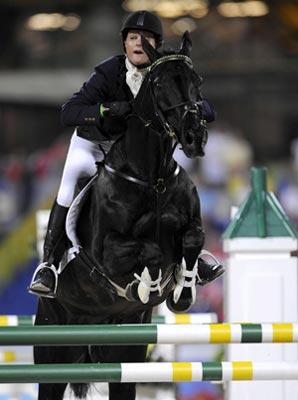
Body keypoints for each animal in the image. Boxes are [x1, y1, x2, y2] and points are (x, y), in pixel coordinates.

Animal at [35, 32, 210, 400]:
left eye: (197, 81)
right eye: (158, 84)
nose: (194, 138)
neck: (152, 177)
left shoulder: (191, 227)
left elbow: (192, 239)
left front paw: (182, 292)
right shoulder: (108, 254)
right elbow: (150, 250)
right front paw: (146, 287)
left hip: (124, 355)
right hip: (53, 349)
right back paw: (44, 277)